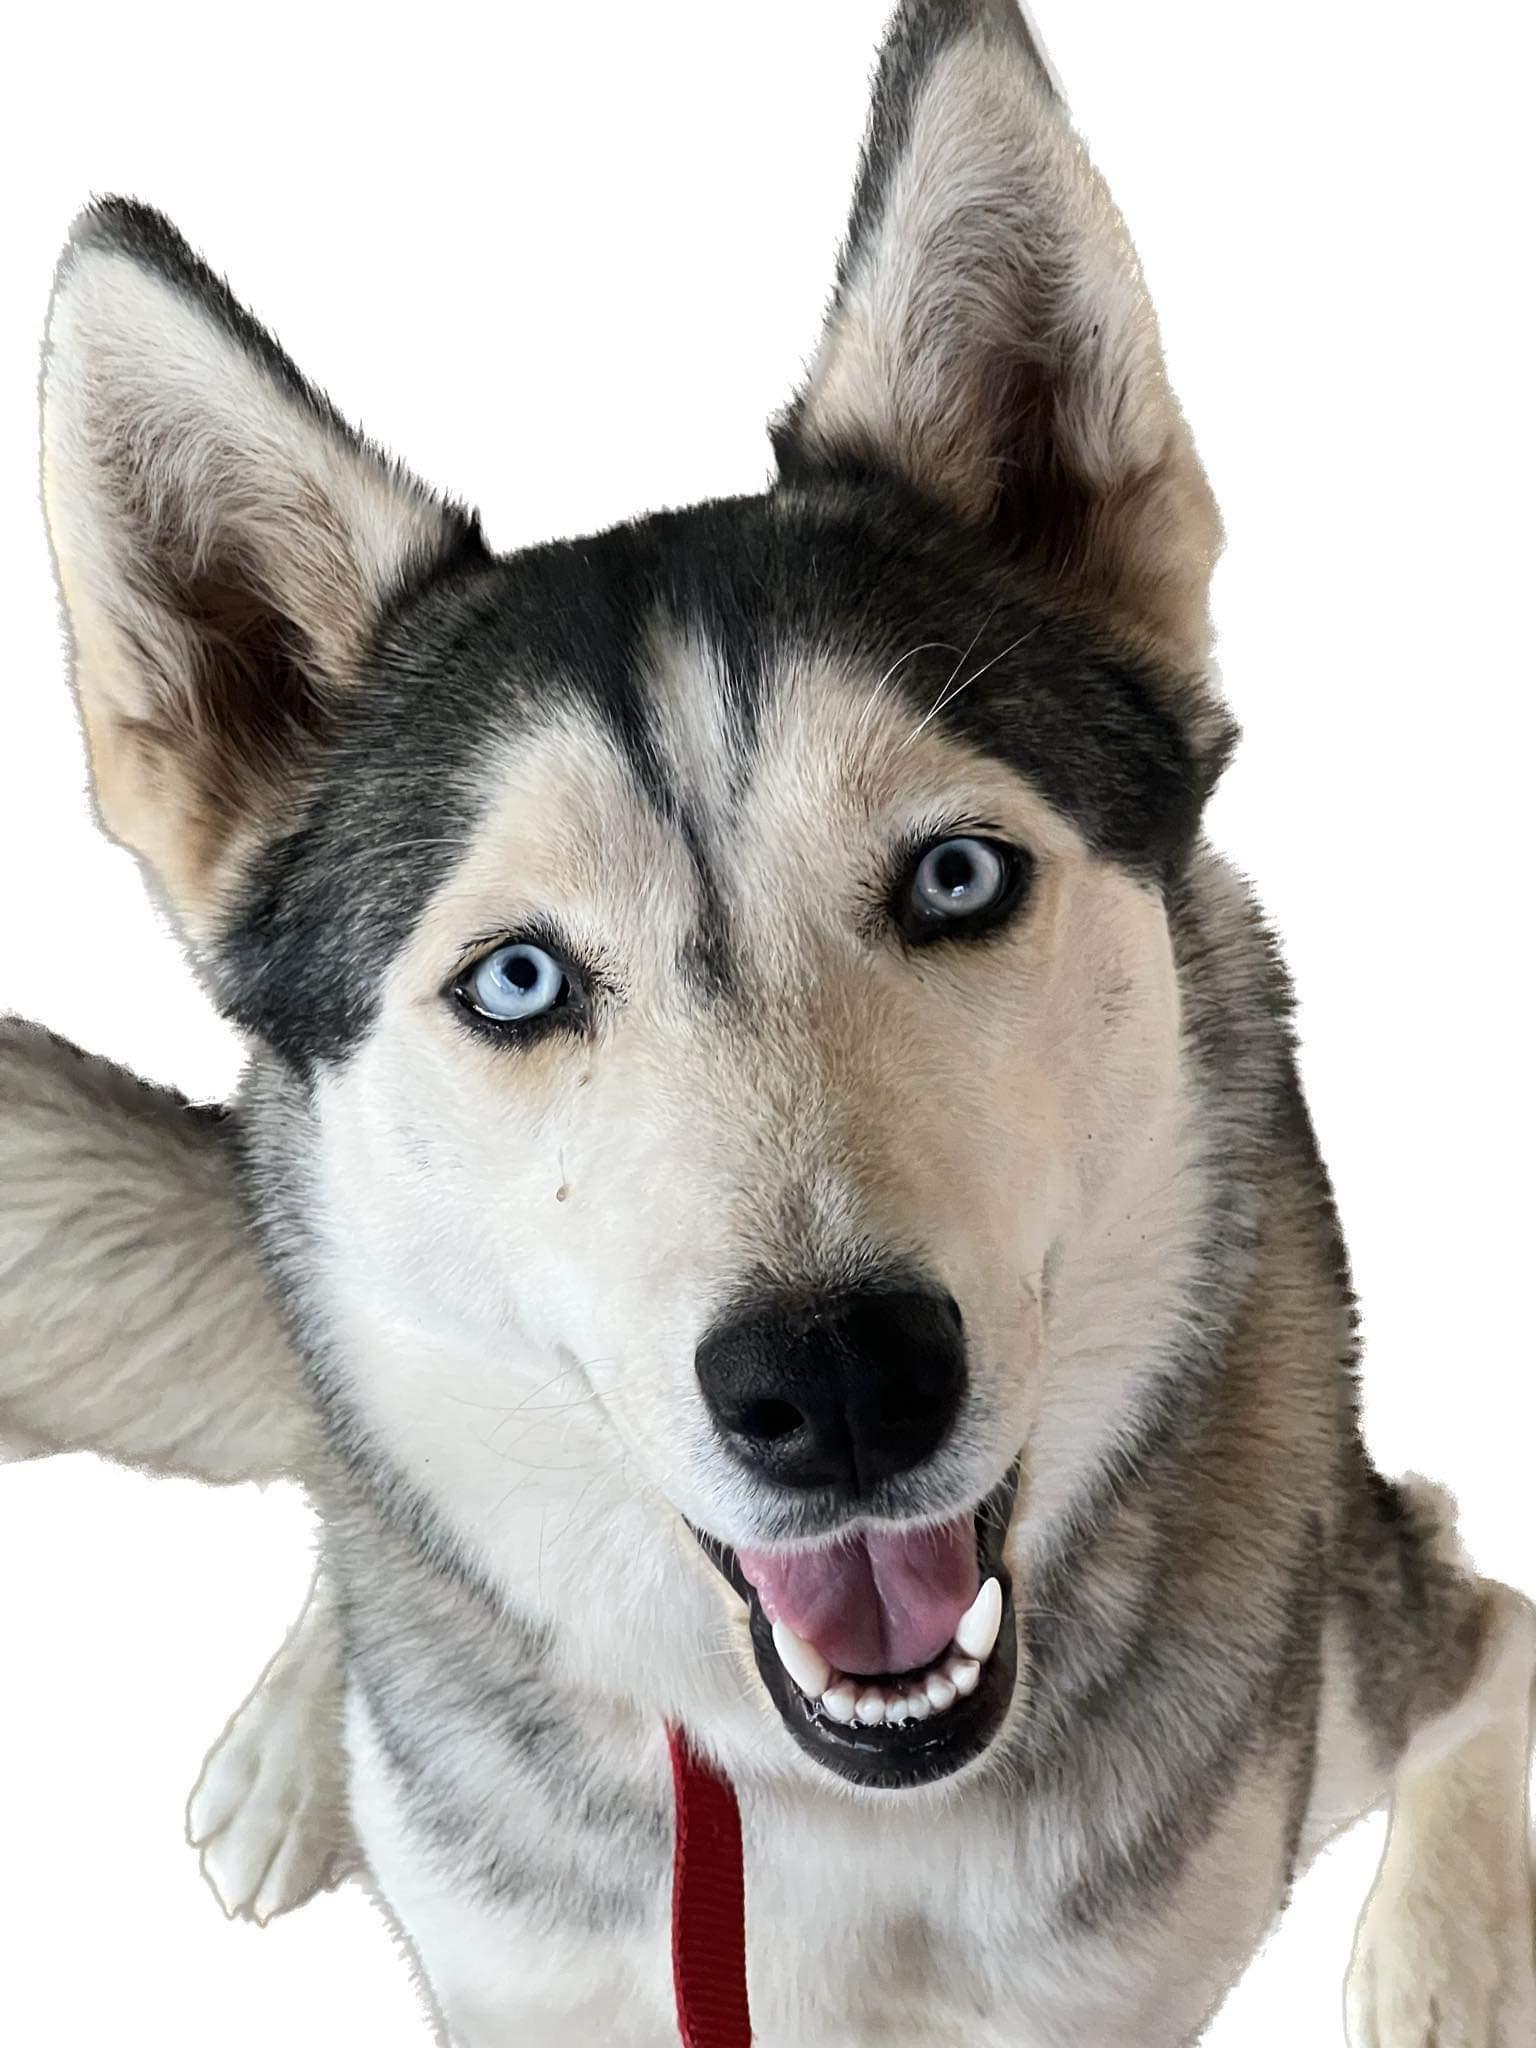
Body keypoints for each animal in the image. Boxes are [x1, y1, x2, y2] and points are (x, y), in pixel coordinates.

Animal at [5, 1, 1533, 2040]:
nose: (842, 1384)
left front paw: (1450, 1948)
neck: (814, 1805)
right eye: (517, 979)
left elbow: (1499, 1637)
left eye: (955, 878)